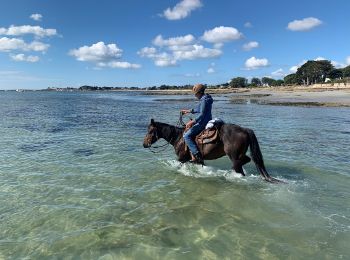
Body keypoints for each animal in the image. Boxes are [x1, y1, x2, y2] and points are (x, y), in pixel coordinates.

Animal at [144, 118, 284, 183]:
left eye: (150, 131)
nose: (144, 144)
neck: (178, 137)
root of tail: (244, 129)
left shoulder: (182, 159)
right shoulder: (193, 160)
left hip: (233, 155)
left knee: (238, 166)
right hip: (240, 155)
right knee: (246, 160)